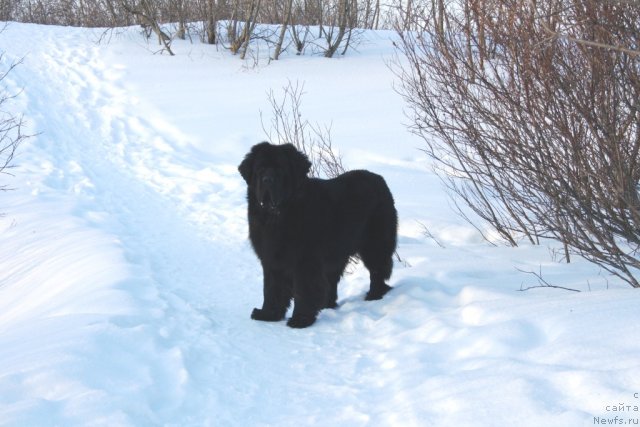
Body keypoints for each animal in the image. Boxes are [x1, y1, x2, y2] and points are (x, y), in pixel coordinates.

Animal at [240, 142, 398, 330]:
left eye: (280, 169)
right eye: (260, 169)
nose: (267, 180)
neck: (279, 215)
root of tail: (380, 179)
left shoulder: (305, 261)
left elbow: (304, 290)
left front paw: (300, 319)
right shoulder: (271, 258)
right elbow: (271, 288)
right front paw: (268, 314)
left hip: (374, 245)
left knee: (377, 270)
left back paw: (374, 296)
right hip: (337, 252)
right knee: (332, 280)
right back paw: (326, 305)